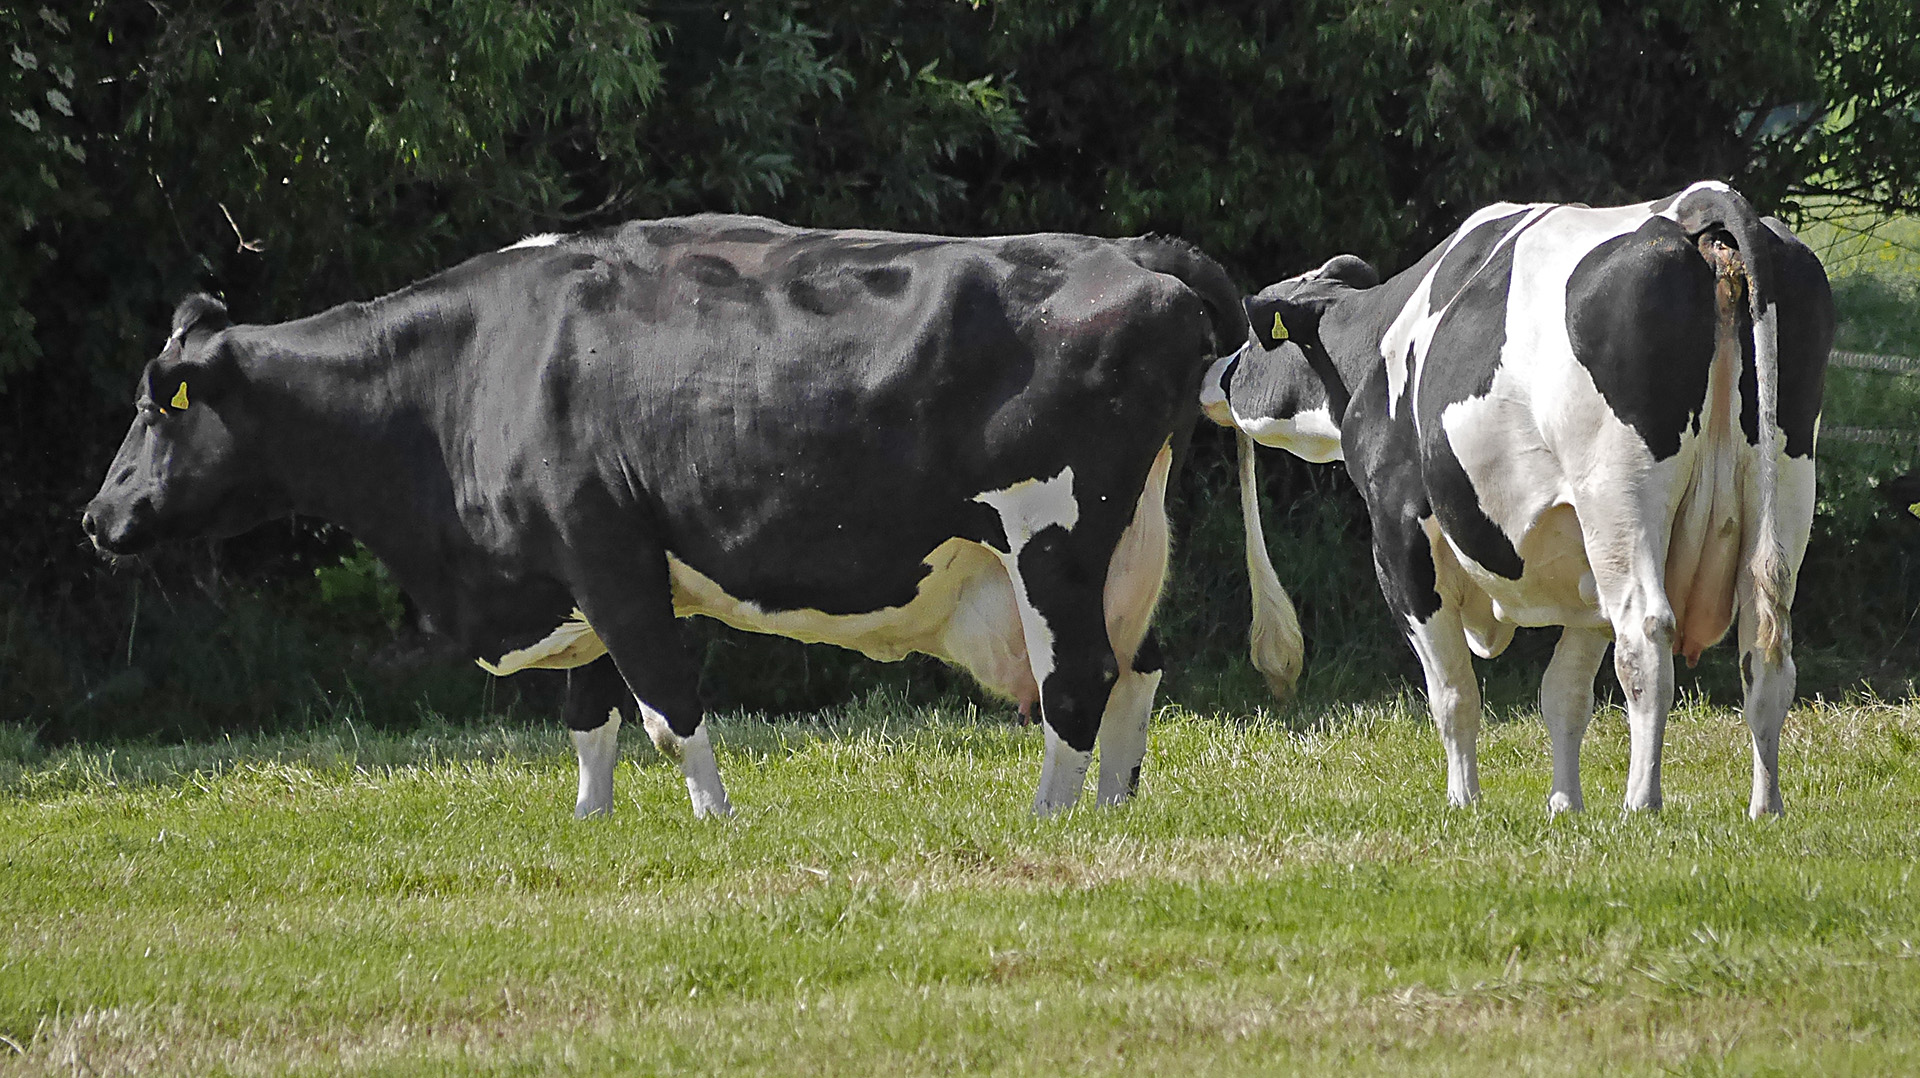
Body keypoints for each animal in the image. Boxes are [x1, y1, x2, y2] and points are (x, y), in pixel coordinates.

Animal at [82, 216, 1282, 814]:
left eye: (150, 408)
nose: (98, 516)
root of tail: (1130, 249)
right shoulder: (567, 578)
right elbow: (590, 719)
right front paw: (588, 832)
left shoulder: (607, 550)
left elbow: (668, 708)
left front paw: (718, 829)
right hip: (1126, 543)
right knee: (1138, 668)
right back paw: (1111, 817)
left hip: (1053, 536)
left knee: (1076, 683)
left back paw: (1044, 826)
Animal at [1213, 182, 1827, 814]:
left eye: (1256, 342)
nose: (1218, 372)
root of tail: (1695, 207)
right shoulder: (1581, 565)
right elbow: (1564, 696)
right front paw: (1564, 806)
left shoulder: (1399, 533)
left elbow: (1453, 693)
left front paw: (1463, 801)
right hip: (1784, 482)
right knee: (1767, 647)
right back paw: (1765, 808)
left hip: (1619, 496)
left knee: (1645, 637)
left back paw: (1641, 803)